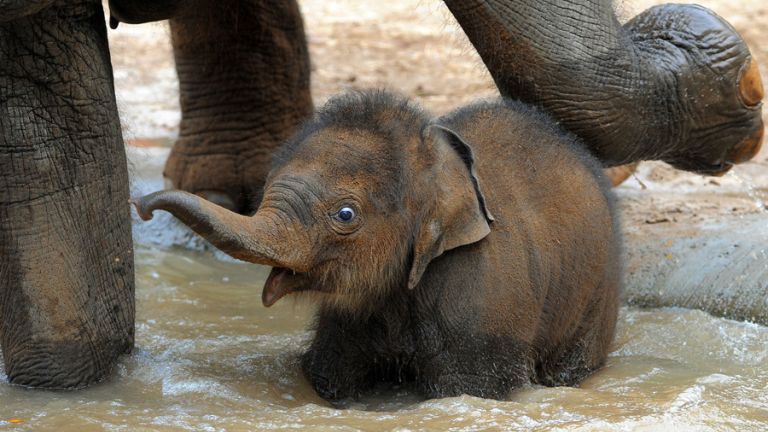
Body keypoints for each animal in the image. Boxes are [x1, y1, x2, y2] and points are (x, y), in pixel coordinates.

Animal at [135, 88, 620, 402]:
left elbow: (470, 388)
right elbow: (331, 374)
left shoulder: (483, 301)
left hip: (596, 298)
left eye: (346, 215)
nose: (140, 206)